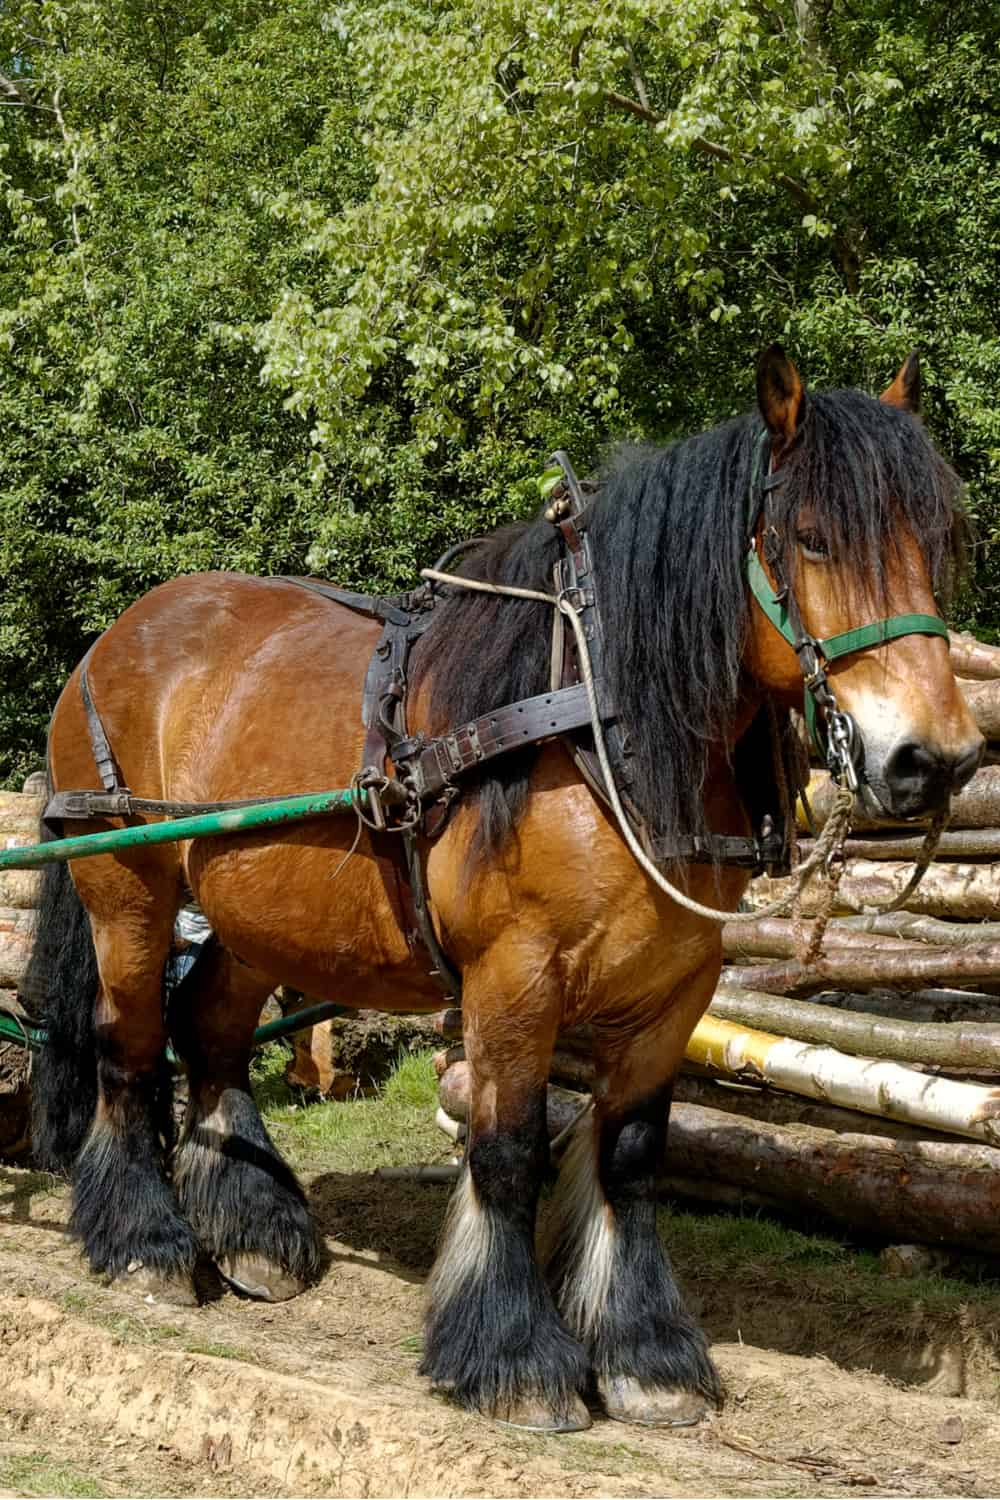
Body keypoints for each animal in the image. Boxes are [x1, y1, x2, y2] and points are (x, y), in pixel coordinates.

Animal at [24, 346, 982, 1433]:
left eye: (936, 541)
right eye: (812, 539)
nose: (935, 759)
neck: (594, 724)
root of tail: (119, 635)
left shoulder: (673, 994)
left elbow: (631, 1156)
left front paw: (647, 1355)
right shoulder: (514, 978)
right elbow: (509, 1153)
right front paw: (514, 1355)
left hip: (257, 911)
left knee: (212, 1031)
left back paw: (256, 1231)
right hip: (129, 893)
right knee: (130, 1048)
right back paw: (145, 1242)